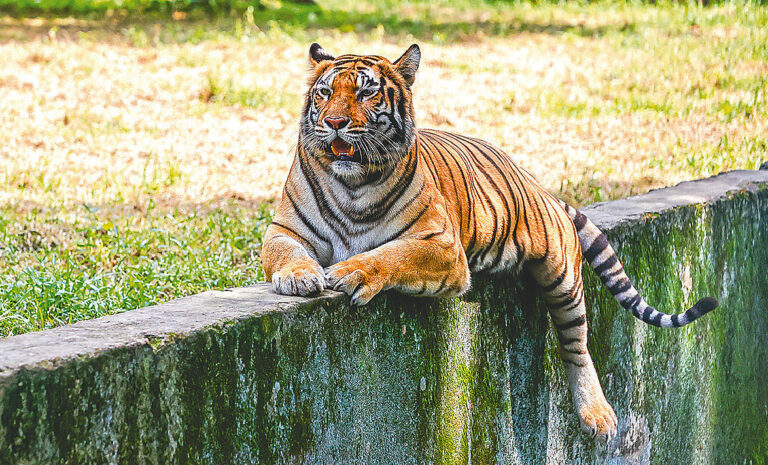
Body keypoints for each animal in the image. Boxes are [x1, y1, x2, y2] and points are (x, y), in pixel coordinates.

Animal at [260, 43, 719, 442]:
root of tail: (538, 184)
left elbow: (392, 254)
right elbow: (286, 253)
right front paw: (299, 277)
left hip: (562, 275)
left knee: (578, 343)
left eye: (366, 92)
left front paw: (353, 271)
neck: (353, 184)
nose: (334, 122)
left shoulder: (441, 245)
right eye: (325, 92)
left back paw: (598, 415)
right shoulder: (284, 230)